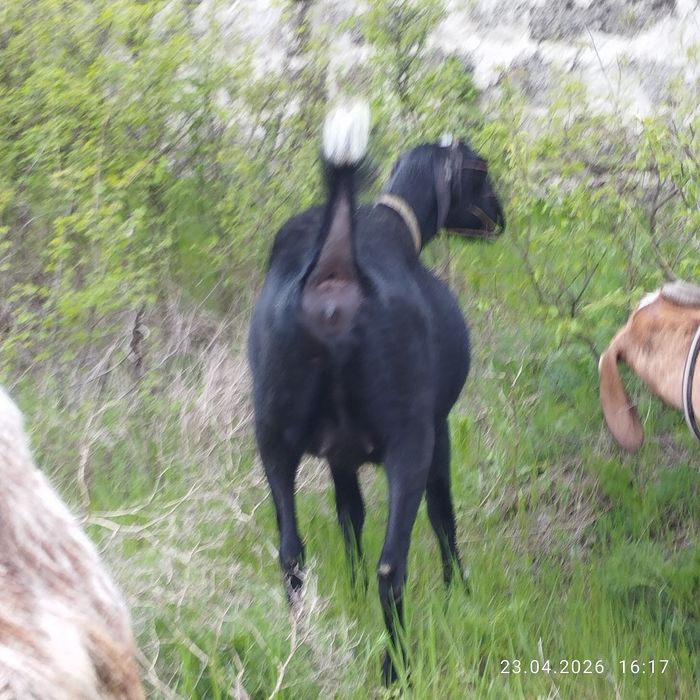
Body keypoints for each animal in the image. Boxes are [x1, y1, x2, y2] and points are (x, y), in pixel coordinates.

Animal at [248, 102, 504, 684]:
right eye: (482, 174)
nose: (500, 217)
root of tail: (336, 271)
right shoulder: (437, 429)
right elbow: (443, 515)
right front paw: (460, 593)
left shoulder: (339, 456)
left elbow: (350, 518)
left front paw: (352, 587)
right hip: (409, 442)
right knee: (395, 564)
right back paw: (397, 668)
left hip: (271, 436)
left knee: (291, 552)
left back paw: (302, 647)